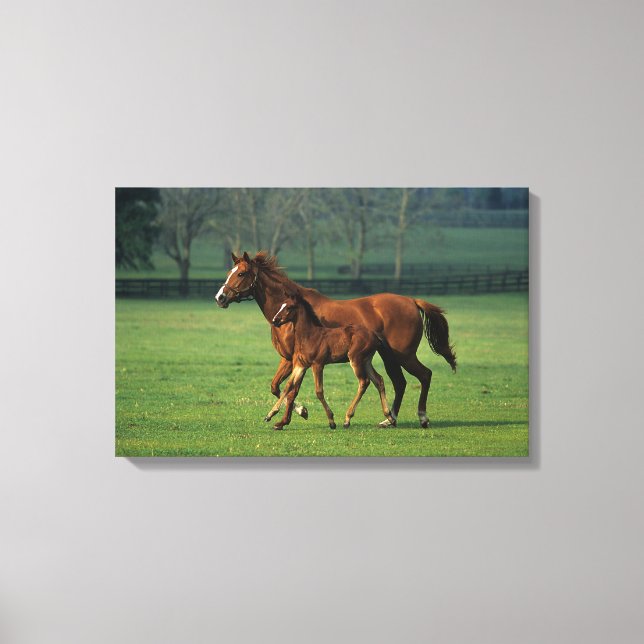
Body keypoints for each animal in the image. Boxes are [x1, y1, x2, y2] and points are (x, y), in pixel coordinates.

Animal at [265, 291, 397, 430]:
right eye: (281, 305)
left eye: (289, 307)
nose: (275, 320)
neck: (309, 336)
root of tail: (375, 335)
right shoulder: (300, 365)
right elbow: (288, 386)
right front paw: (270, 415)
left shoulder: (317, 364)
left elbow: (319, 391)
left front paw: (331, 421)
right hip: (366, 361)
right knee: (378, 380)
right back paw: (389, 417)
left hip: (356, 359)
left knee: (364, 382)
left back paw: (347, 419)